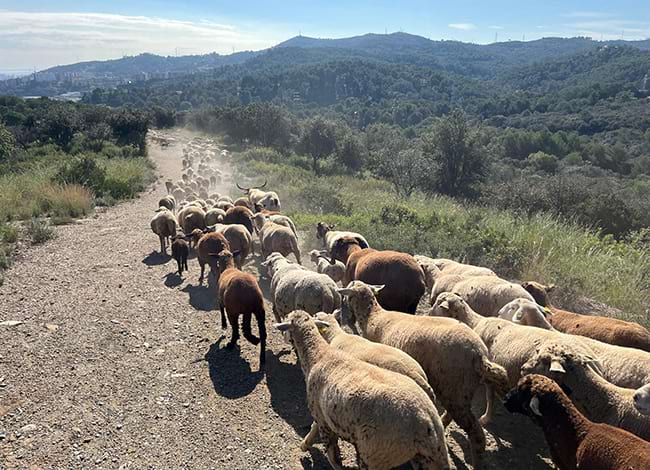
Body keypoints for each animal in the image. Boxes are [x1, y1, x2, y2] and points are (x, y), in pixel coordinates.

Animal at [270, 312, 448, 470]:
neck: (319, 355)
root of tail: (427, 420)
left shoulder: (321, 417)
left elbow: (332, 454)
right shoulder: (323, 415)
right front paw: (304, 445)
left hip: (375, 455)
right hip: (429, 457)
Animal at [340, 280, 506, 468]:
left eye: (349, 294)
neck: (372, 317)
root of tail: (479, 354)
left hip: (454, 385)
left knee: (476, 433)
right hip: (458, 390)